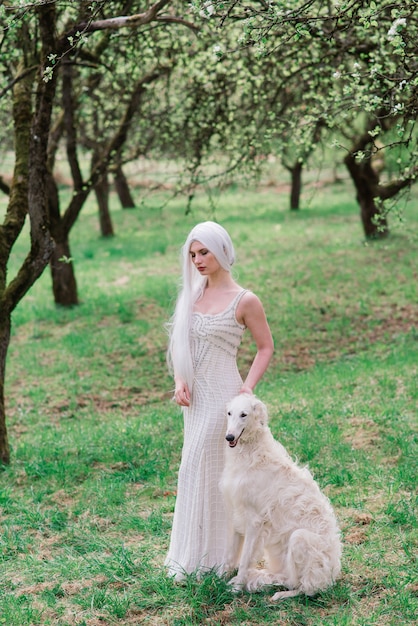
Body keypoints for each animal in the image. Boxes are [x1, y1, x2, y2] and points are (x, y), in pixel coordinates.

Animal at [220, 390, 342, 600]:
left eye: (244, 414)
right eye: (229, 413)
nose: (229, 437)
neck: (252, 453)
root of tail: (331, 576)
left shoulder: (254, 521)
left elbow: (244, 560)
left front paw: (236, 589)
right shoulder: (237, 512)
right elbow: (229, 556)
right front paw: (215, 580)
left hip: (299, 538)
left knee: (303, 587)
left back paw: (280, 594)